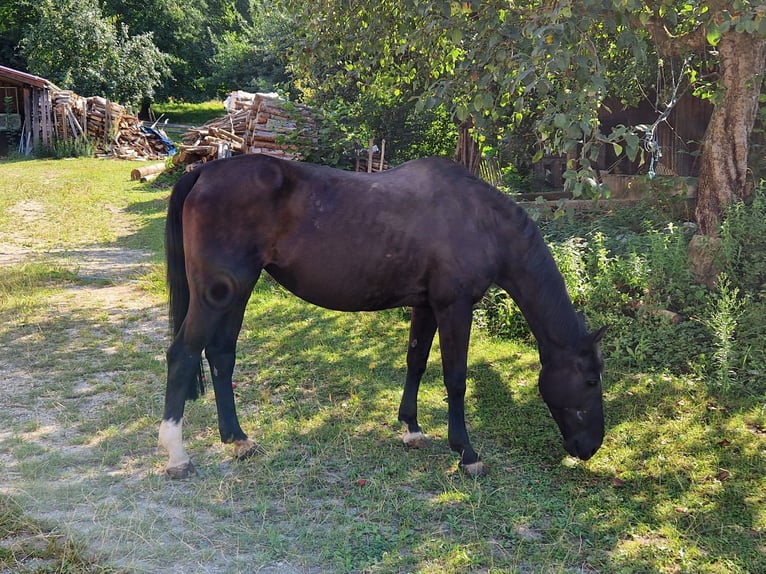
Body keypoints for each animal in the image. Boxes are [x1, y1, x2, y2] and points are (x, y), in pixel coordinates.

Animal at [160, 155, 608, 480]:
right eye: (590, 380)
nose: (591, 447)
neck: (479, 219)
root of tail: (204, 171)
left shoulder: (427, 306)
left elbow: (416, 362)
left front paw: (412, 429)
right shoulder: (455, 307)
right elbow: (455, 378)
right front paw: (466, 452)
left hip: (237, 293)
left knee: (221, 355)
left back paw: (238, 440)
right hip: (217, 296)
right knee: (183, 354)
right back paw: (177, 455)